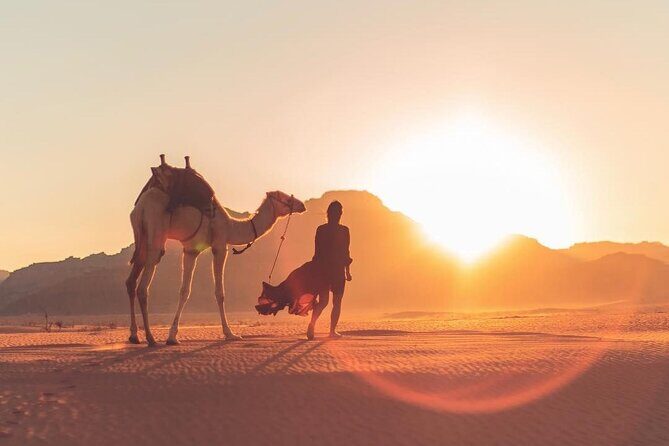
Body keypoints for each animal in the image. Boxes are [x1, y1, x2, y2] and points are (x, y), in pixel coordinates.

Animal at [126, 155, 306, 346]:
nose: (301, 205)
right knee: (143, 286)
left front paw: (172, 336)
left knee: (131, 282)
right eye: (286, 199)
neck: (231, 226)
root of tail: (141, 206)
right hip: (156, 232)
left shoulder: (190, 250)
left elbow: (184, 291)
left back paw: (134, 335)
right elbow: (220, 293)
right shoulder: (220, 246)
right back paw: (150, 338)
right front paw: (230, 334)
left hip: (140, 235)